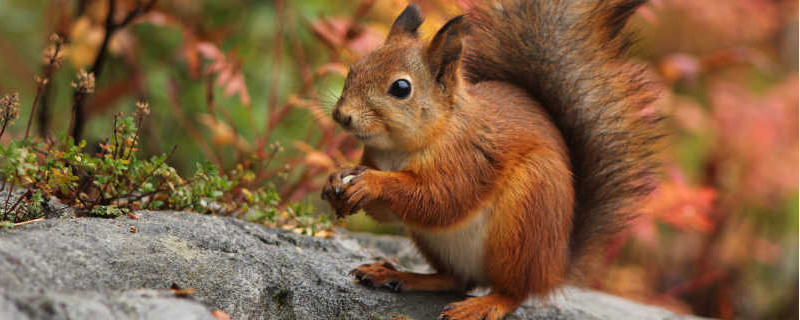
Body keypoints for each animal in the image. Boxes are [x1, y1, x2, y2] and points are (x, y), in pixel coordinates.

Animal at [320, 1, 664, 318]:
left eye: (401, 88)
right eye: (355, 67)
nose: (342, 115)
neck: (399, 148)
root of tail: (554, 267)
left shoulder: (468, 159)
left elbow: (438, 199)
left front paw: (371, 182)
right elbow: (389, 213)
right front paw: (336, 178)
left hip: (524, 221)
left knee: (514, 291)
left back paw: (484, 304)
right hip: (437, 243)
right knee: (456, 279)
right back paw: (399, 275)